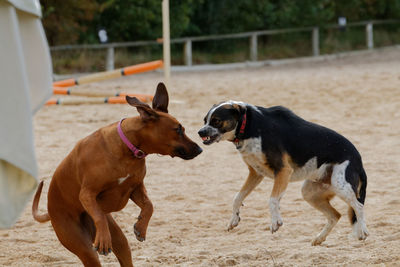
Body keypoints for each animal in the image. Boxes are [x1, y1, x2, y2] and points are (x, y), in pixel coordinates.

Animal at [31, 82, 202, 266]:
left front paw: (141, 227)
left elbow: (149, 205)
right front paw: (104, 239)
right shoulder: (87, 193)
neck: (129, 149)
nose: (200, 149)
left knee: (123, 247)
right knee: (92, 247)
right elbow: (99, 215)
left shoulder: (136, 187)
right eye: (178, 130)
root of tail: (50, 210)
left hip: (118, 238)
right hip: (80, 243)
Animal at [199, 102, 368, 247]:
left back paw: (361, 232)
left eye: (216, 121)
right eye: (205, 120)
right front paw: (234, 219)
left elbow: (272, 200)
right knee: (335, 215)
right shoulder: (255, 174)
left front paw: (275, 222)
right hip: (310, 192)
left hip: (341, 185)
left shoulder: (283, 171)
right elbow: (237, 198)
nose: (200, 132)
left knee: (358, 206)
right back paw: (320, 238)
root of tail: (359, 160)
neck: (249, 126)